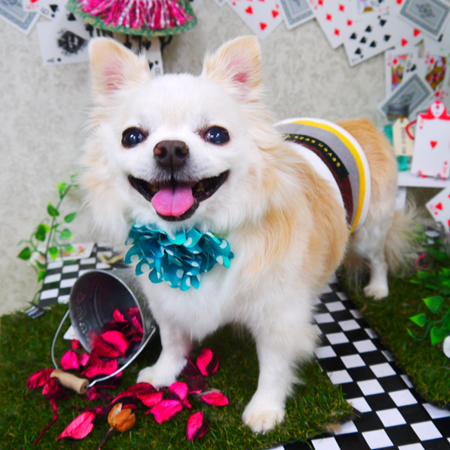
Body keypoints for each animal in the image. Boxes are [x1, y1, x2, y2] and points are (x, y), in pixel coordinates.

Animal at [81, 36, 414, 434]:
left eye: (216, 134)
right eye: (132, 137)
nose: (171, 149)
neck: (194, 239)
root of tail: (360, 123)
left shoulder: (277, 317)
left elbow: (272, 367)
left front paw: (265, 409)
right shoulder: (167, 300)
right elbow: (173, 339)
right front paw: (163, 374)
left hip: (368, 231)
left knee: (378, 257)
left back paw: (378, 288)